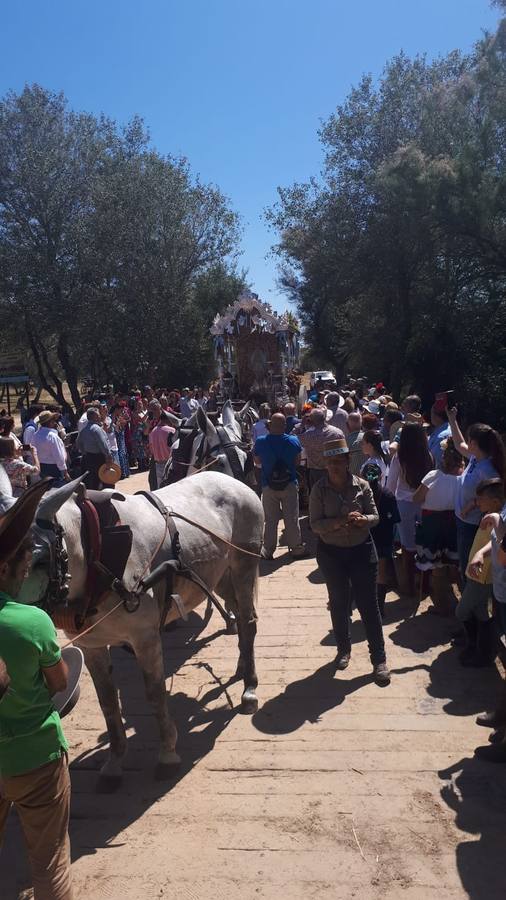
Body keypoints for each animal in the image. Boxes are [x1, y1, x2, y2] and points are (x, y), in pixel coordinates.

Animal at [28, 472, 264, 788]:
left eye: (39, 559)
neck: (97, 554)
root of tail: (231, 479)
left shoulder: (145, 638)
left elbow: (155, 693)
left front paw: (168, 754)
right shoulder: (92, 646)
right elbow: (107, 702)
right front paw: (115, 762)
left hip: (243, 564)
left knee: (248, 623)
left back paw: (249, 688)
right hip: (219, 575)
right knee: (237, 615)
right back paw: (241, 666)